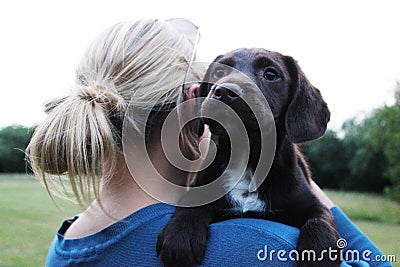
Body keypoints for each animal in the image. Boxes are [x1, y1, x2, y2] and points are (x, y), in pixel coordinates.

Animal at [156, 48, 340, 267]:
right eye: (219, 72)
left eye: (270, 74)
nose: (224, 91)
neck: (248, 158)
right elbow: (192, 202)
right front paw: (180, 235)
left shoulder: (310, 203)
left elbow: (321, 219)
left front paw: (319, 254)